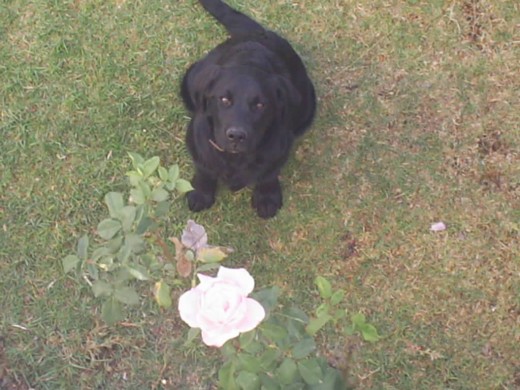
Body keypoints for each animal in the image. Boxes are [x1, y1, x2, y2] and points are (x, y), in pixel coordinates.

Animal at [181, 0, 314, 218]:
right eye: (224, 99)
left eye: (260, 105)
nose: (236, 135)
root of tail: (258, 33)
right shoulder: (199, 142)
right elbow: (204, 168)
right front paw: (201, 192)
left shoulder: (279, 148)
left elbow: (269, 173)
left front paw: (267, 196)